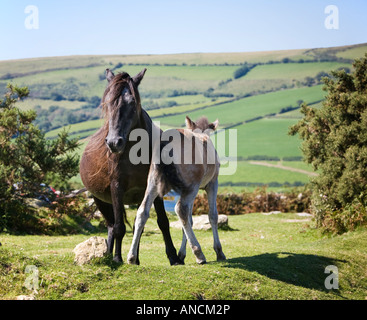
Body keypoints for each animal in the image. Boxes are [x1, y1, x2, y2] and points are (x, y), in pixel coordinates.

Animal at [81, 68, 183, 264]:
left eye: (132, 102)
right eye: (107, 103)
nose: (114, 142)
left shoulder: (154, 187)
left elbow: (161, 222)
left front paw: (173, 257)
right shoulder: (116, 188)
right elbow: (120, 227)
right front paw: (117, 258)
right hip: (100, 200)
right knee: (111, 226)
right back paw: (109, 255)